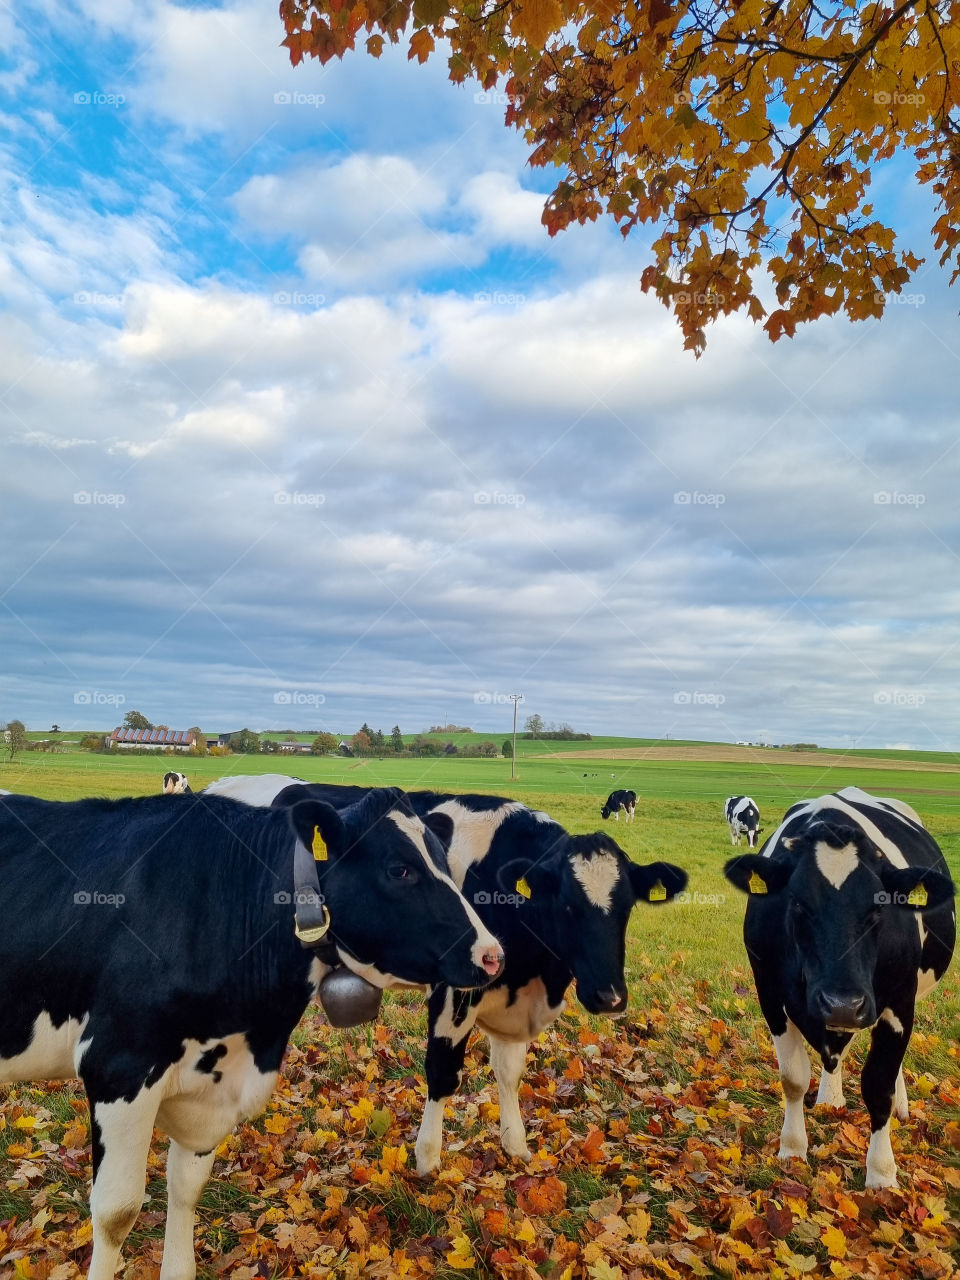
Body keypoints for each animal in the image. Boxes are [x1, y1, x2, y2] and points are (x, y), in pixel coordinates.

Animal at [0, 788, 503, 1280]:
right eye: (399, 869)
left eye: (445, 863)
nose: (493, 955)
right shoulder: (118, 1065)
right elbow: (116, 1211)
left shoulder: (213, 1088)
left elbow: (186, 1188)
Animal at [205, 775, 688, 1175]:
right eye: (568, 906)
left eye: (626, 907)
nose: (610, 997)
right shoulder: (455, 987)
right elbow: (442, 1071)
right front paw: (428, 1157)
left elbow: (509, 1072)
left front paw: (515, 1144)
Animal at [724, 786, 955, 1188]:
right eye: (798, 904)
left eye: (880, 907)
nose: (843, 1003)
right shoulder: (770, 994)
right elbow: (793, 1078)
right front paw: (792, 1148)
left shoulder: (898, 1001)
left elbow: (879, 1085)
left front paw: (882, 1174)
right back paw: (830, 1098)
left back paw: (901, 1106)